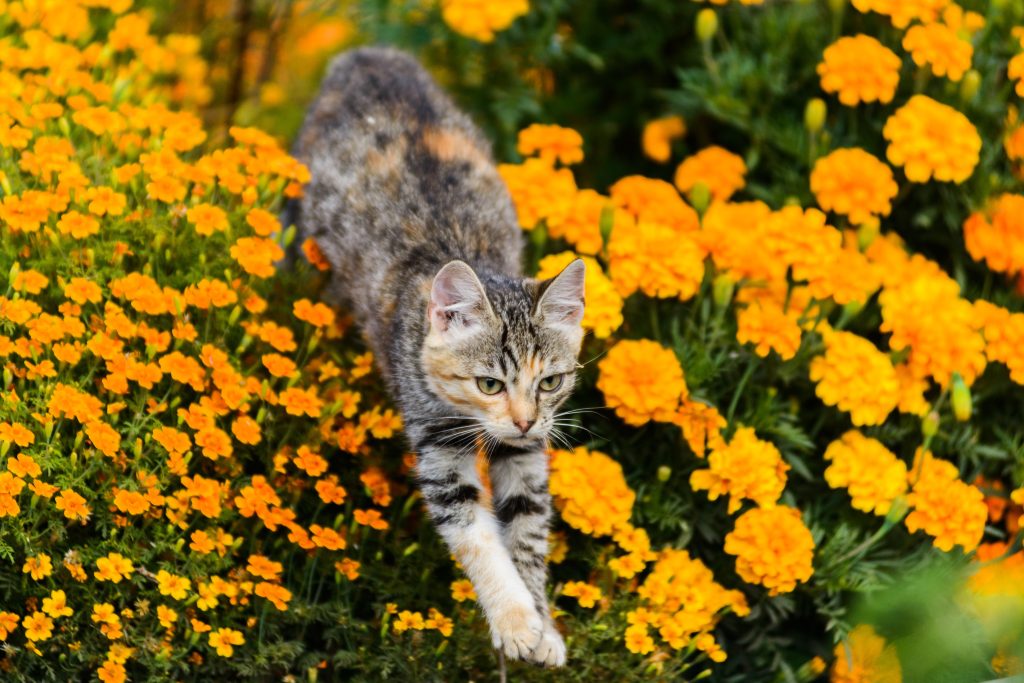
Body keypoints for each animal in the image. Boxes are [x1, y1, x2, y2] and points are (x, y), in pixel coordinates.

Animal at [292, 48, 589, 667]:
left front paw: (543, 626)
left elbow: (527, 530)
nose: (523, 419)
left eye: (549, 383)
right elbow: (476, 535)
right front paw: (514, 621)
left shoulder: (527, 453)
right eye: (489, 384)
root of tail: (365, 54)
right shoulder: (436, 442)